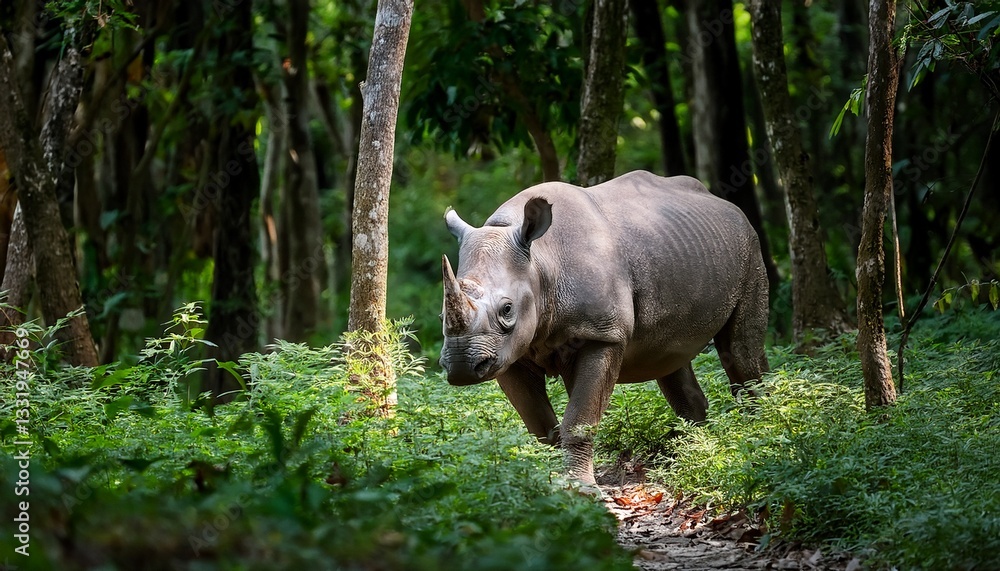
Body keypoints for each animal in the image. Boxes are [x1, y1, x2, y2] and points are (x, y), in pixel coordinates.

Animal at [439, 170, 769, 491]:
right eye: (442, 313)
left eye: (507, 309)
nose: (462, 366)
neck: (542, 263)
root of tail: (722, 203)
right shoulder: (509, 354)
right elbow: (540, 426)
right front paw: (548, 484)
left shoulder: (602, 335)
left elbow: (579, 419)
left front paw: (579, 489)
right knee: (670, 358)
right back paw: (689, 451)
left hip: (750, 246)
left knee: (740, 350)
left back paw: (755, 435)